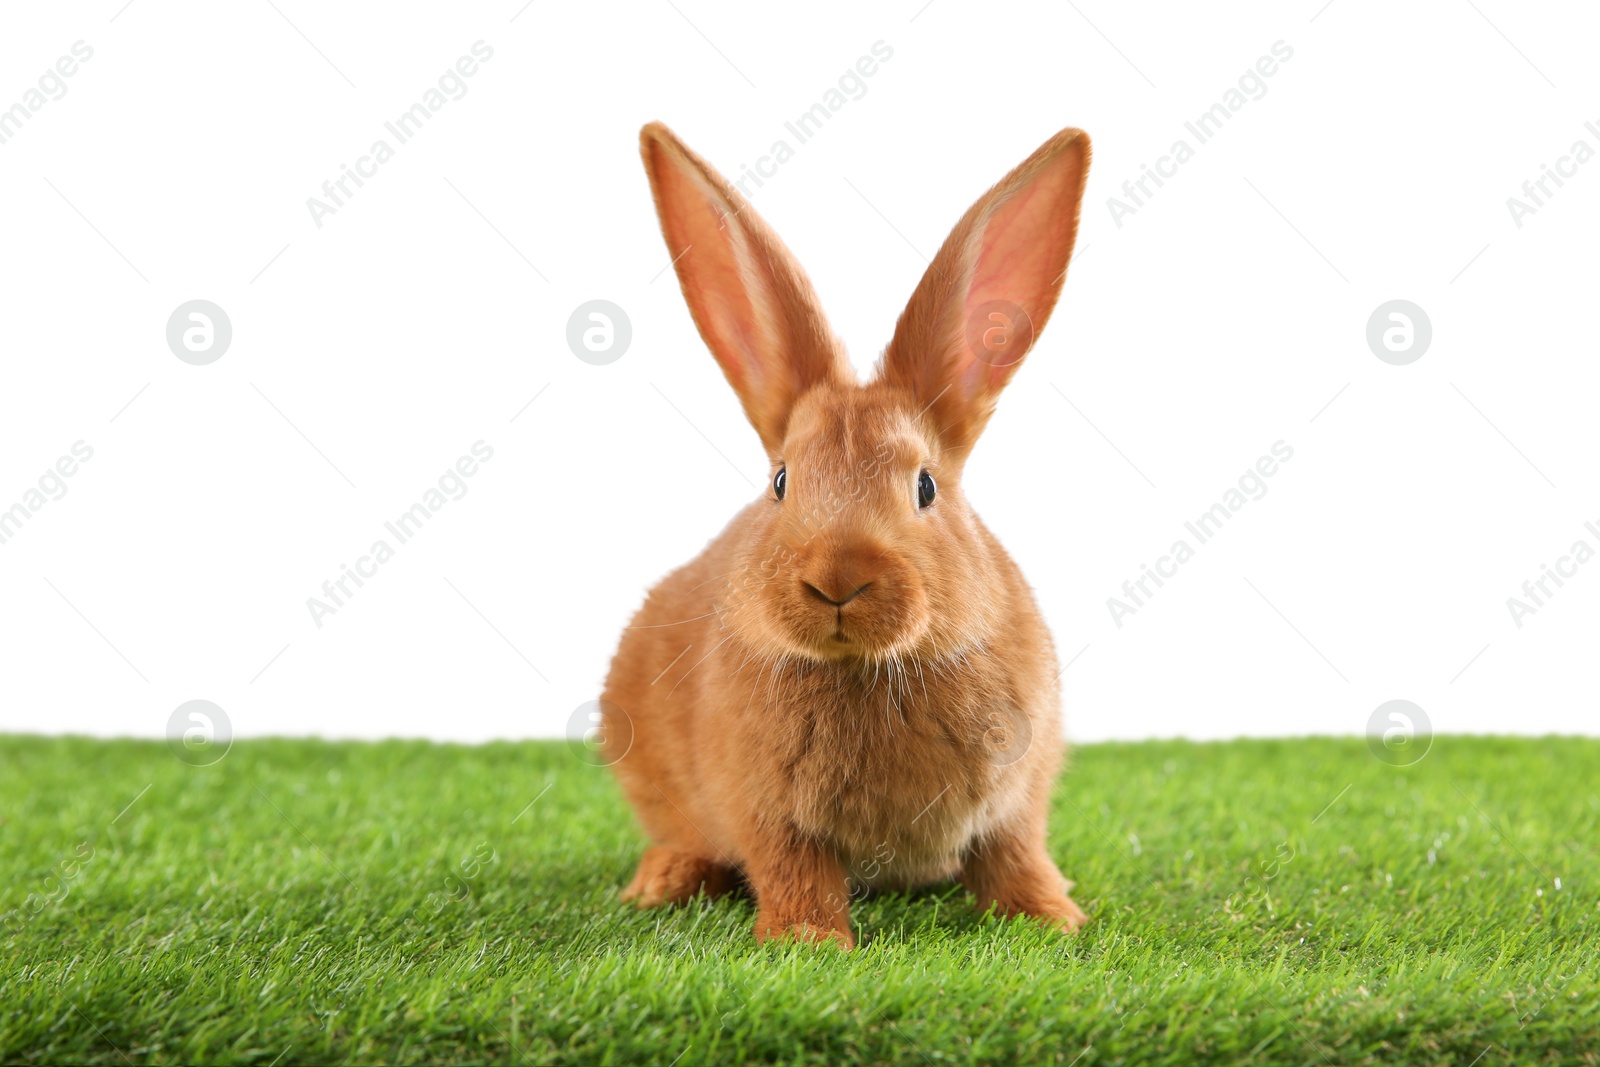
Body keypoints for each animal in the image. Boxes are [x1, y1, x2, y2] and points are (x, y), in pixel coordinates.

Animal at [601, 120, 1088, 947]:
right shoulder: (768, 813)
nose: (837, 579)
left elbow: (1016, 857)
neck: (870, 667)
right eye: (781, 481)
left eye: (925, 486)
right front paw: (810, 941)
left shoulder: (1017, 799)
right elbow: (793, 868)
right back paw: (662, 882)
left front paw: (1054, 921)